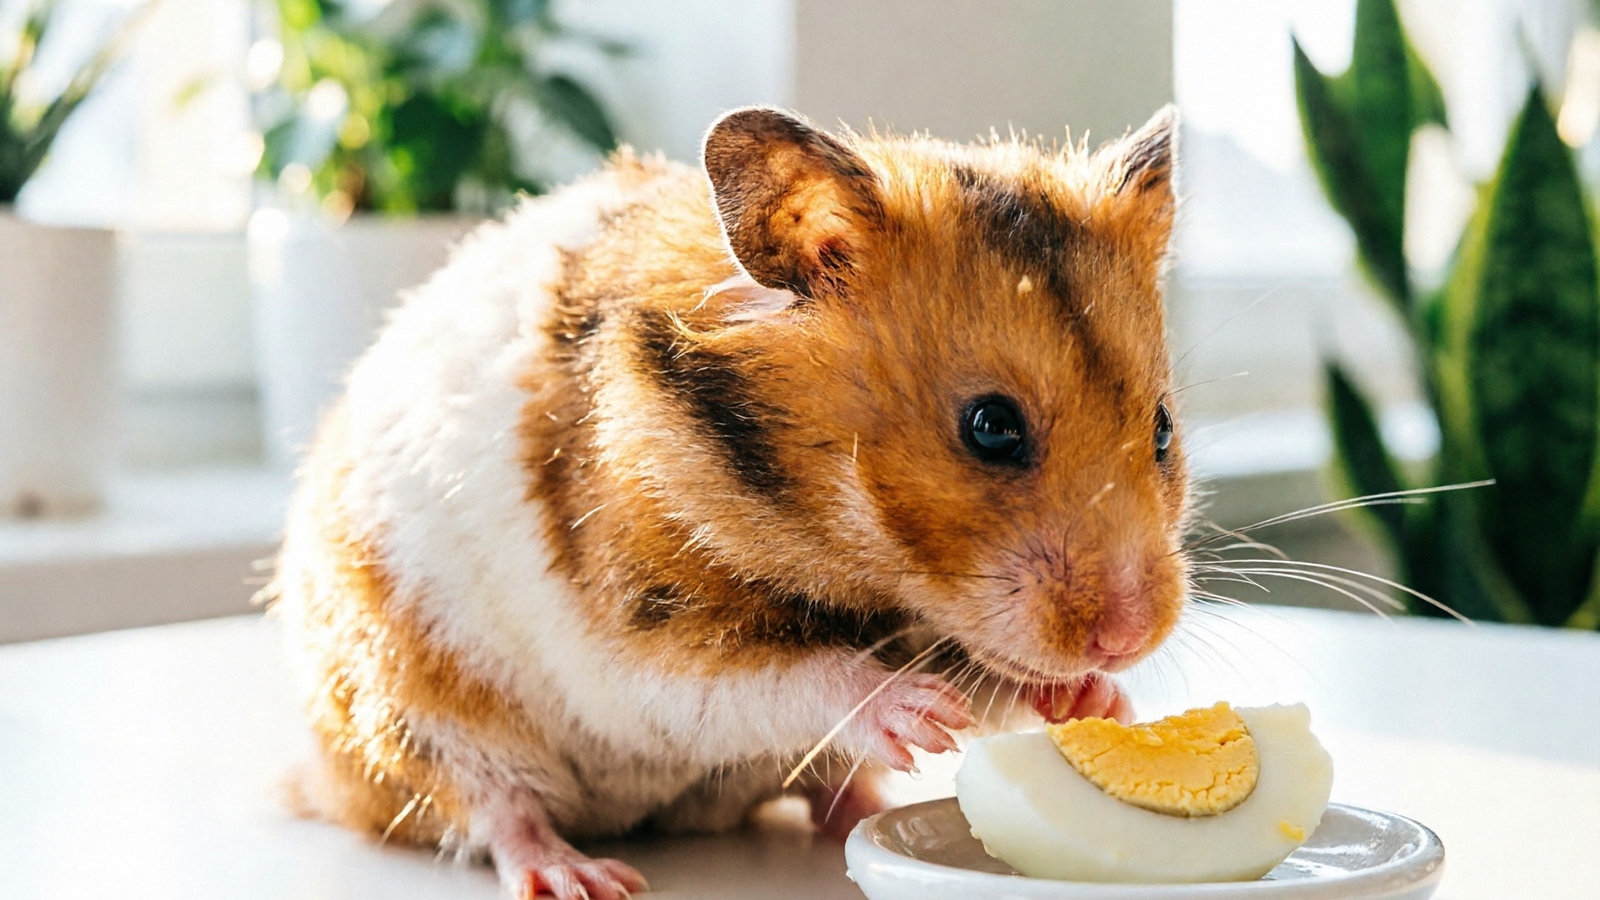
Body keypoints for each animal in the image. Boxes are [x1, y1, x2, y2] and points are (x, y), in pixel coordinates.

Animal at [270, 105, 1189, 900]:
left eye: (1162, 428)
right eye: (991, 427)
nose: (1131, 639)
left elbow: (998, 678)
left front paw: (1097, 703)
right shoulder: (632, 630)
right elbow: (774, 679)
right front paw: (923, 717)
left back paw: (862, 809)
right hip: (411, 707)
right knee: (495, 809)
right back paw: (583, 876)